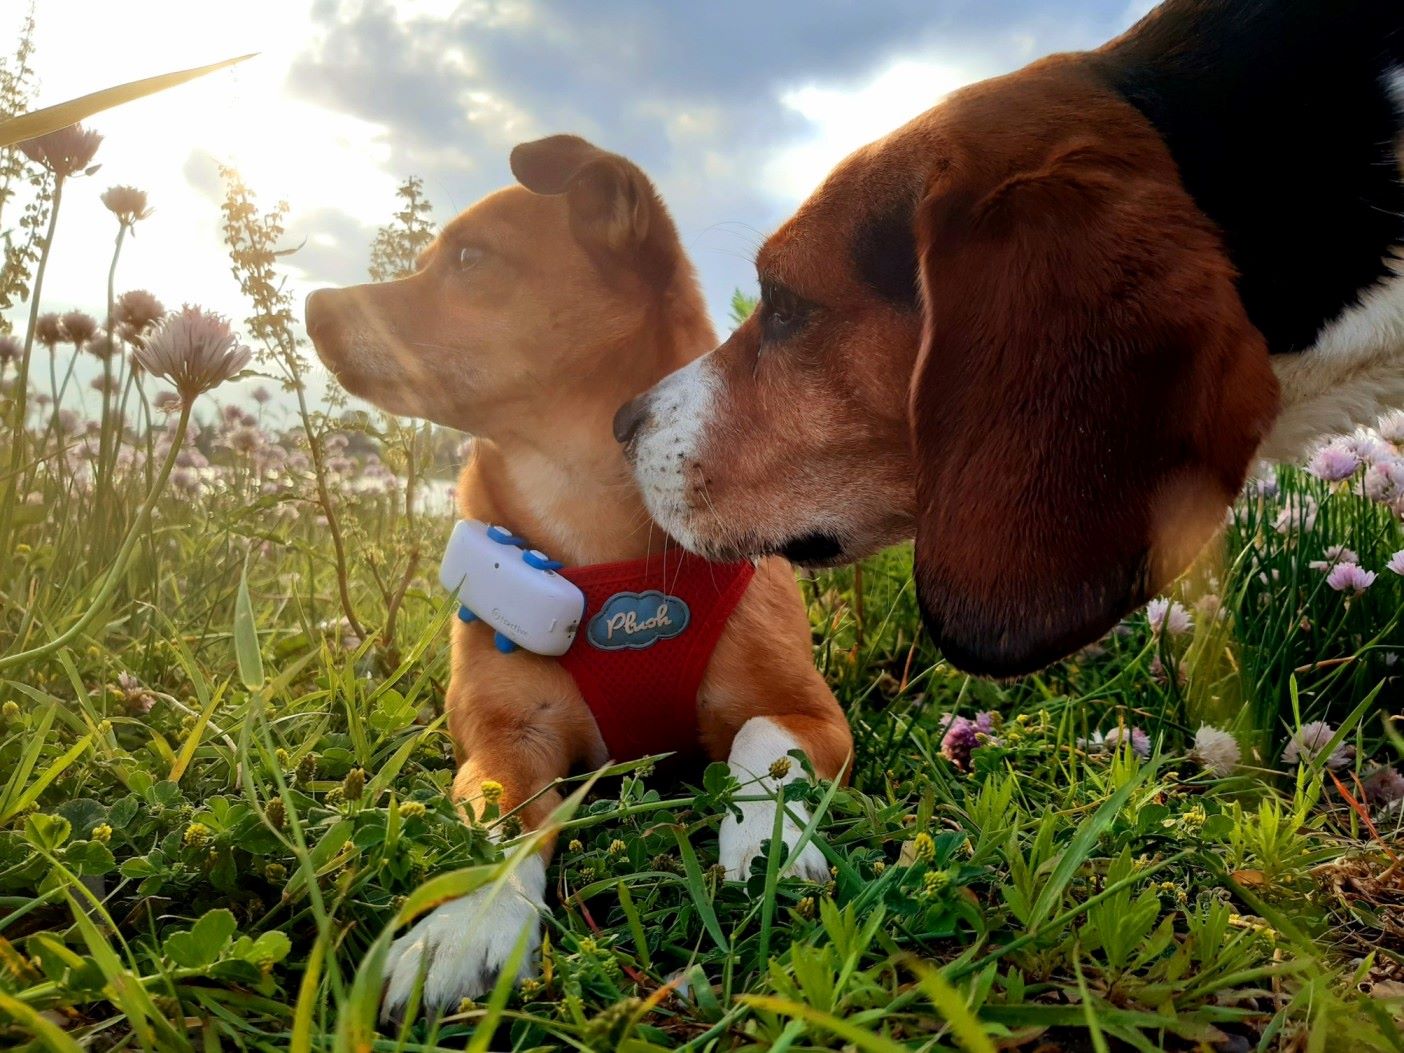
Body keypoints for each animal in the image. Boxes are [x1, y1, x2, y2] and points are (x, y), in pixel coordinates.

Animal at [303, 136, 848, 1016]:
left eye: (469, 258)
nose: (314, 305)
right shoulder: (502, 735)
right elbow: (500, 815)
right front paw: (468, 917)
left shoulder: (810, 712)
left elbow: (761, 744)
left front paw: (763, 844)